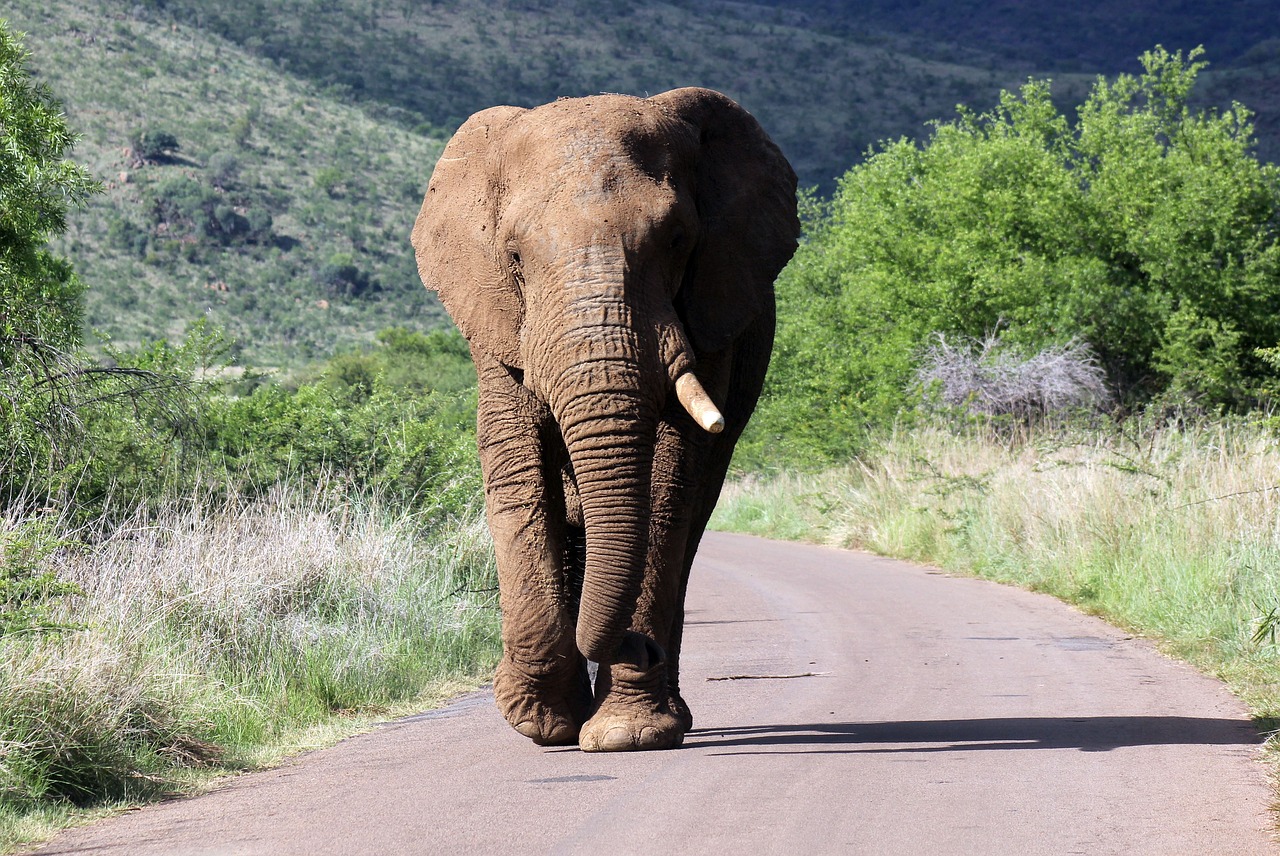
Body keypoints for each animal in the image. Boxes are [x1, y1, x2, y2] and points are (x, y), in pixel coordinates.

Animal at [409, 87, 793, 752]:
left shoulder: (711, 308)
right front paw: (538, 724)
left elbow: (669, 482)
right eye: (514, 255)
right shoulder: (496, 322)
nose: (640, 648)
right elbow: (518, 469)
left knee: (689, 525)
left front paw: (626, 735)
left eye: (677, 240)